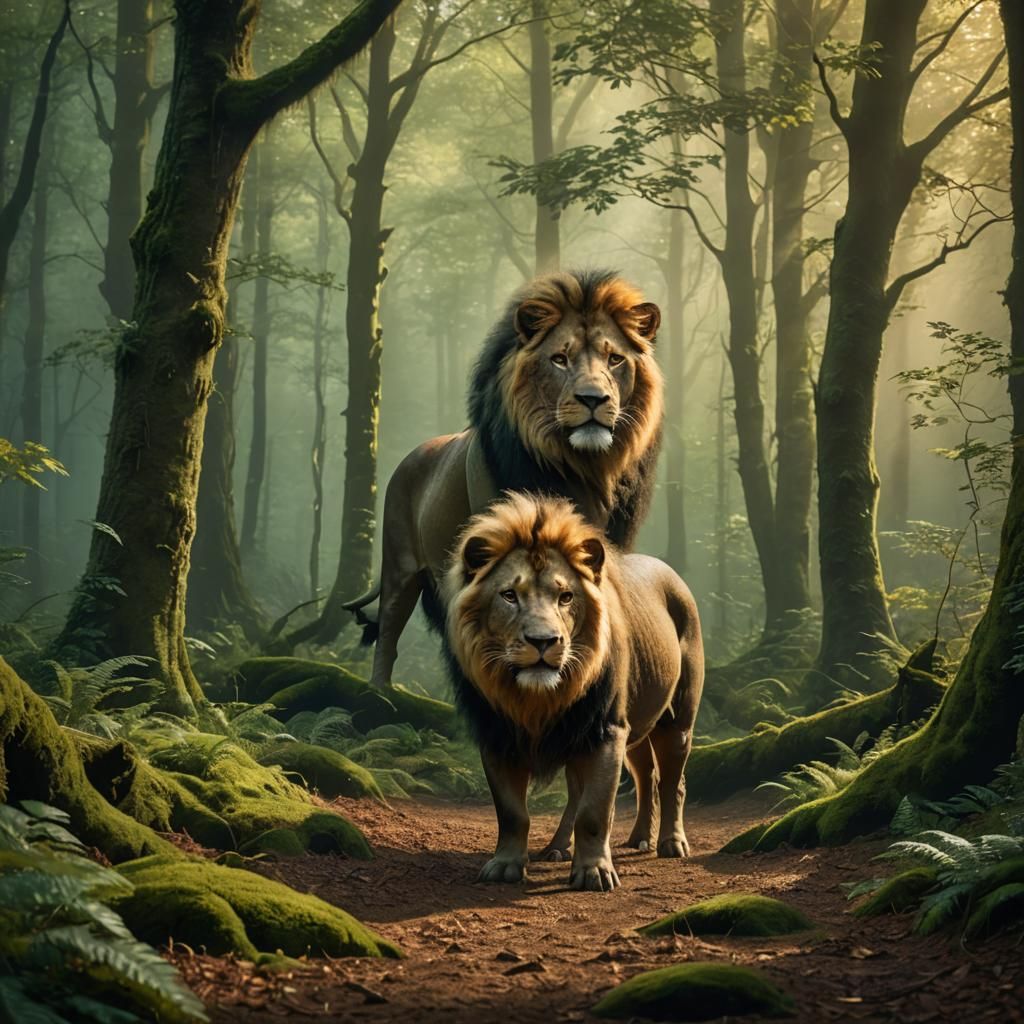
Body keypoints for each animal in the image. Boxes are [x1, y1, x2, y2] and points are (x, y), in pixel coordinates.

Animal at [346, 269, 664, 690]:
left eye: (615, 360)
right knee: (388, 634)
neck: (586, 467)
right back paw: (379, 693)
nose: (593, 399)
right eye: (560, 359)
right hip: (400, 568)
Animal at [441, 492, 704, 891]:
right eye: (509, 596)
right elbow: (512, 813)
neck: (536, 699)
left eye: (565, 597)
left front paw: (594, 872)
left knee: (673, 781)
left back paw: (670, 843)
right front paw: (505, 866)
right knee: (644, 777)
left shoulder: (606, 729)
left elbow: (594, 812)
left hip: (676, 721)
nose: (544, 641)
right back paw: (599, 843)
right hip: (618, 730)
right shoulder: (498, 736)